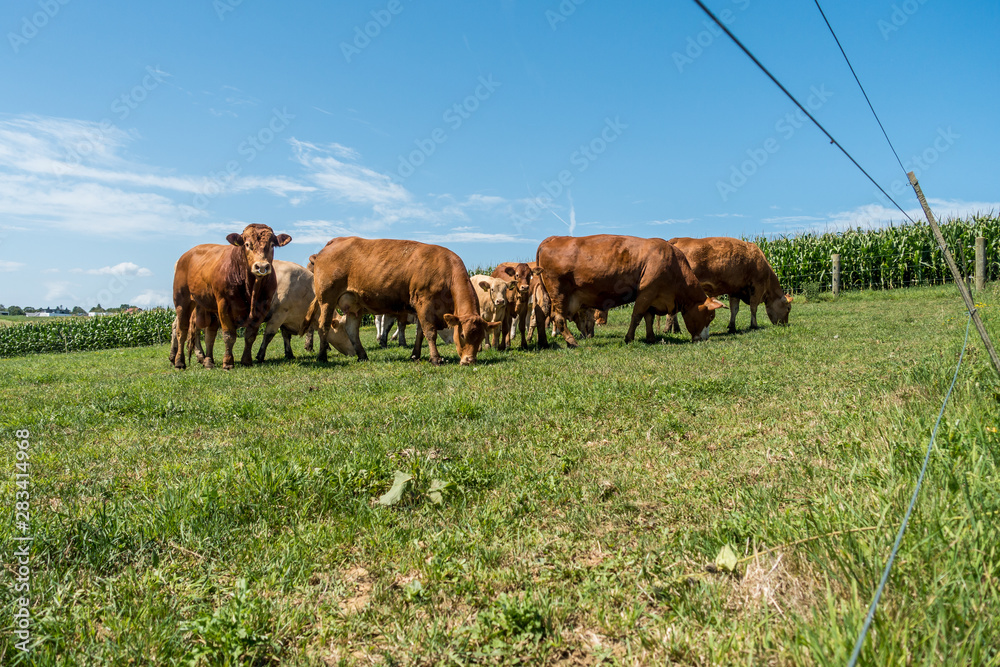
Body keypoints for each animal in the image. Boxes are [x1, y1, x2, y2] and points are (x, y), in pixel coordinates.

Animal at [171, 224, 291, 369]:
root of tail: (185, 255)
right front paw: (228, 362)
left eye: (272, 244)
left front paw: (246, 360)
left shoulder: (263, 307)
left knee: (209, 335)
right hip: (182, 301)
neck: (250, 288)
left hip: (209, 307)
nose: (262, 266)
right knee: (181, 331)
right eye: (247, 244)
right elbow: (229, 335)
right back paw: (179, 362)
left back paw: (209, 361)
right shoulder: (224, 305)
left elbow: (250, 336)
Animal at [305, 237, 498, 366]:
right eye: (463, 335)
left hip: (354, 304)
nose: (469, 360)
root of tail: (336, 241)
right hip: (327, 299)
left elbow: (420, 333)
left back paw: (362, 355)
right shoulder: (424, 303)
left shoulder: (423, 309)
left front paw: (416, 355)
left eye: (480, 338)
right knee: (323, 325)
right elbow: (430, 332)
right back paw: (322, 356)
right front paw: (436, 358)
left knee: (352, 330)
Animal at [536, 234, 726, 347]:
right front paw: (629, 338)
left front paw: (650, 338)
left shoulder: (653, 296)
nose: (705, 338)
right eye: (710, 316)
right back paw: (571, 341)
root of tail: (553, 238)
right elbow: (637, 316)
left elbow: (649, 318)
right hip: (559, 293)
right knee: (559, 318)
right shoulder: (646, 292)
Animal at [661, 237, 792, 334]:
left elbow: (734, 309)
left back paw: (675, 329)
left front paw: (732, 326)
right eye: (788, 308)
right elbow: (753, 307)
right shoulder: (757, 287)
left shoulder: (735, 290)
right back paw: (669, 329)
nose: (785, 324)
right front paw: (754, 325)